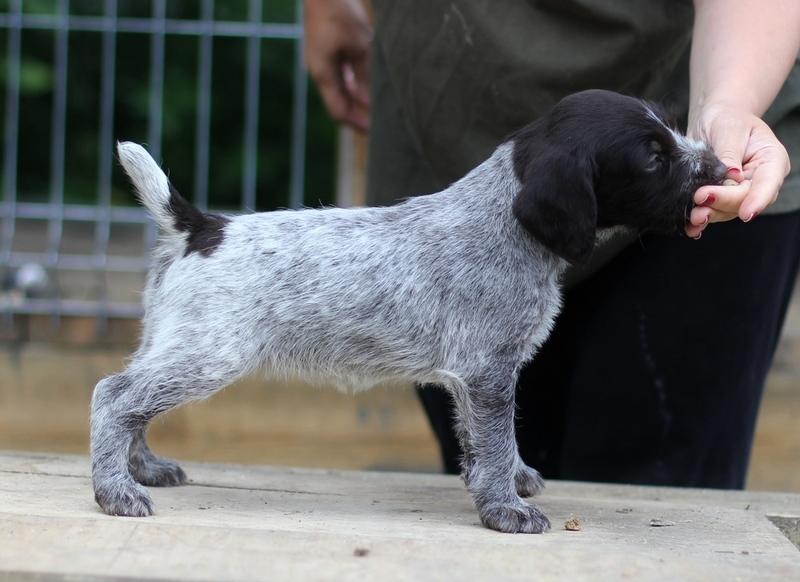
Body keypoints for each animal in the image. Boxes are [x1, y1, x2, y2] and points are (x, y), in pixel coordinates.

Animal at [90, 90, 728, 532]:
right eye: (653, 157)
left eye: (673, 130)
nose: (722, 169)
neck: (504, 221)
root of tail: (202, 225)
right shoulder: (488, 372)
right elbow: (497, 439)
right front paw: (504, 508)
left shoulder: (474, 378)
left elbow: (482, 441)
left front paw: (508, 481)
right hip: (208, 354)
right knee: (113, 396)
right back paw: (115, 490)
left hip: (171, 342)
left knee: (132, 401)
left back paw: (140, 468)